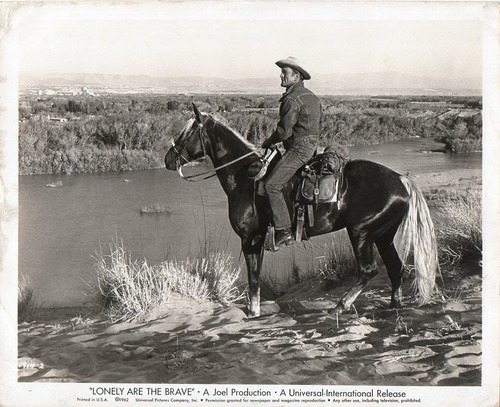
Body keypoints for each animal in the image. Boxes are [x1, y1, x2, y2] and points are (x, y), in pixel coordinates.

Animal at [165, 104, 438, 318]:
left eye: (187, 133)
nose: (168, 159)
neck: (244, 176)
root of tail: (402, 179)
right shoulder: (256, 239)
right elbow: (256, 275)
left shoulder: (251, 238)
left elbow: (254, 277)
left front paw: (253, 313)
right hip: (382, 235)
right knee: (395, 267)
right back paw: (394, 306)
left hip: (361, 233)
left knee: (368, 270)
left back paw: (340, 306)